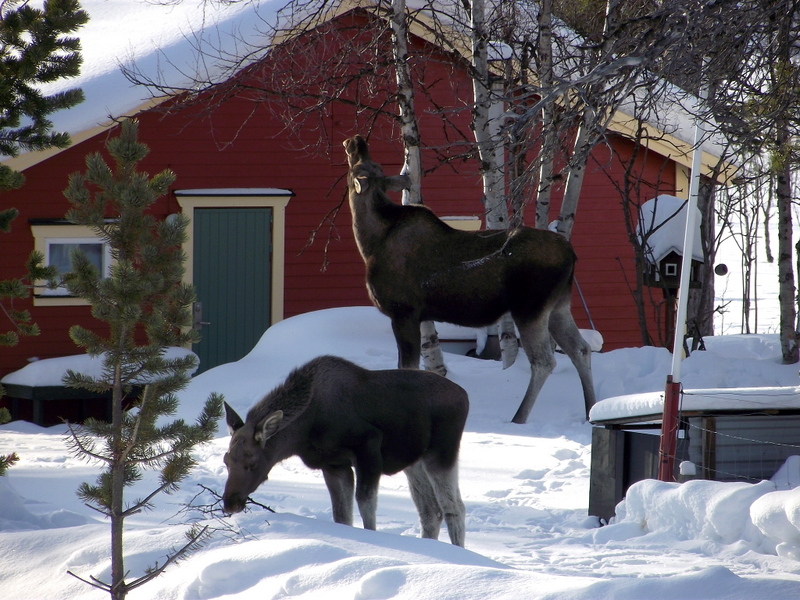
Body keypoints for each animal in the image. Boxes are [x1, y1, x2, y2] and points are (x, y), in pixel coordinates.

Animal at [222, 354, 468, 548]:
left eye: (252, 463)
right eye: (226, 461)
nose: (230, 502)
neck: (307, 428)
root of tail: (464, 396)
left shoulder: (368, 447)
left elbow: (365, 505)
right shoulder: (334, 465)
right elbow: (342, 516)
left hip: (442, 452)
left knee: (453, 507)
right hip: (415, 463)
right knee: (431, 512)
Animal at [340, 136, 596, 424]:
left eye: (360, 168)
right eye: (375, 167)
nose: (357, 140)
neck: (370, 242)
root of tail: (571, 255)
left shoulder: (403, 311)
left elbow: (406, 366)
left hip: (530, 308)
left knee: (544, 361)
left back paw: (519, 418)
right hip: (559, 306)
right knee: (581, 350)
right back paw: (590, 409)